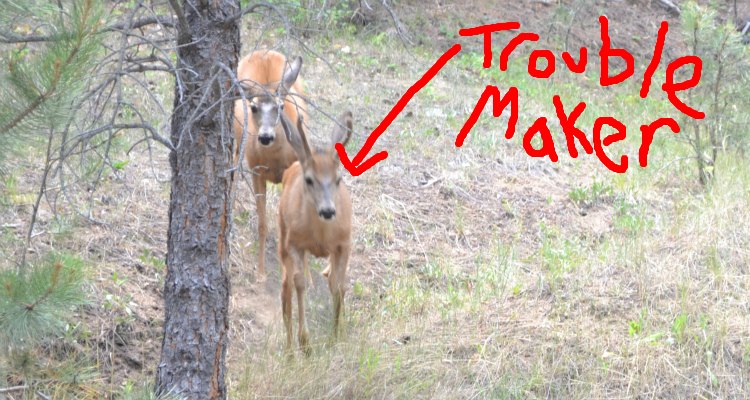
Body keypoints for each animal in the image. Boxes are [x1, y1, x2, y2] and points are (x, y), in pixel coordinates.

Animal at [233, 49, 306, 280]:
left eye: (280, 106)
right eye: (253, 107)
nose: (265, 137)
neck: (275, 158)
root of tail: (263, 52)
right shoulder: (256, 172)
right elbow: (262, 223)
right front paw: (261, 273)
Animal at [277, 111, 353, 352]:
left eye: (338, 179)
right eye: (309, 179)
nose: (328, 210)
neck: (321, 235)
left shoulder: (344, 243)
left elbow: (338, 286)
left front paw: (336, 335)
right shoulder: (294, 243)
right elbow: (300, 284)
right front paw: (306, 342)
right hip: (282, 237)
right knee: (286, 289)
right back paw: (291, 351)